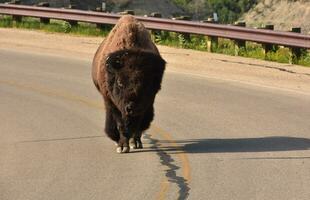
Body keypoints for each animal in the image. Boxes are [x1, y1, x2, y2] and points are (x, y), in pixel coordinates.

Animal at [91, 15, 166, 153]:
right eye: (120, 82)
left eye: (146, 84)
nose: (131, 107)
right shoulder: (113, 103)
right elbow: (120, 124)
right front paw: (122, 146)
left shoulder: (146, 104)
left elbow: (137, 125)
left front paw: (134, 143)